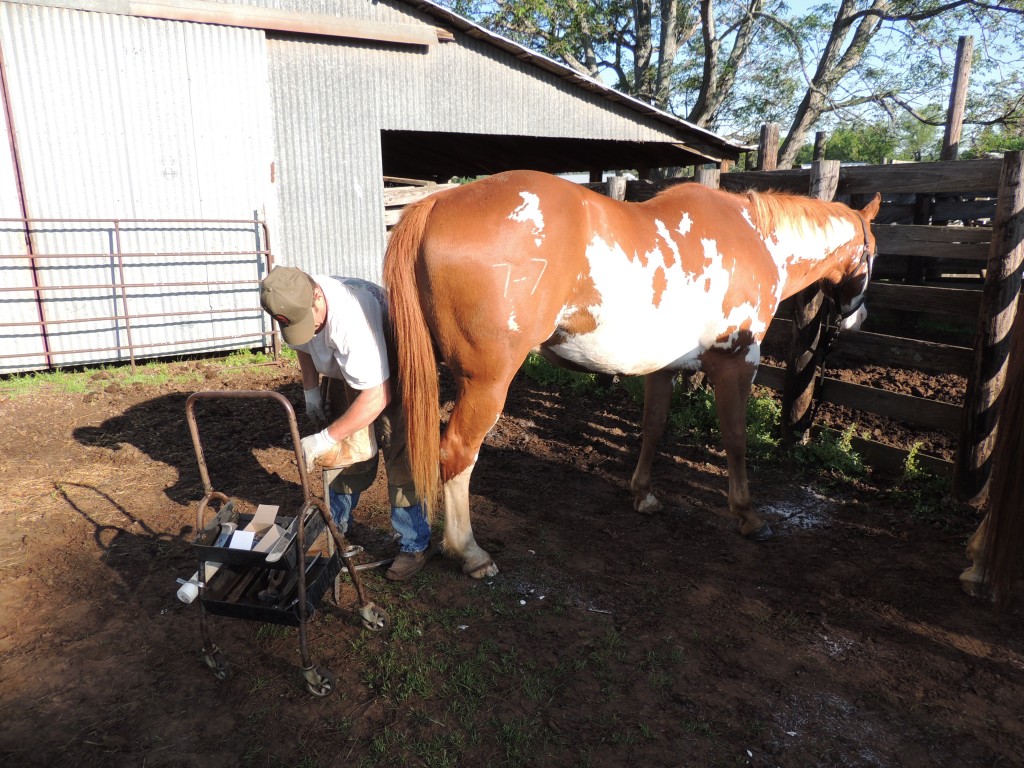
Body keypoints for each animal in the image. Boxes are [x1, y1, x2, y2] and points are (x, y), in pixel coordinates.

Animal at [383, 170, 880, 578]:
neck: (754, 236)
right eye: (873, 253)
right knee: (456, 453)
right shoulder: (737, 365)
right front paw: (748, 515)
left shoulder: (663, 369)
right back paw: (469, 552)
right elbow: (736, 439)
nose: (857, 319)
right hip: (487, 383)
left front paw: (643, 495)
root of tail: (436, 205)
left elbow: (653, 428)